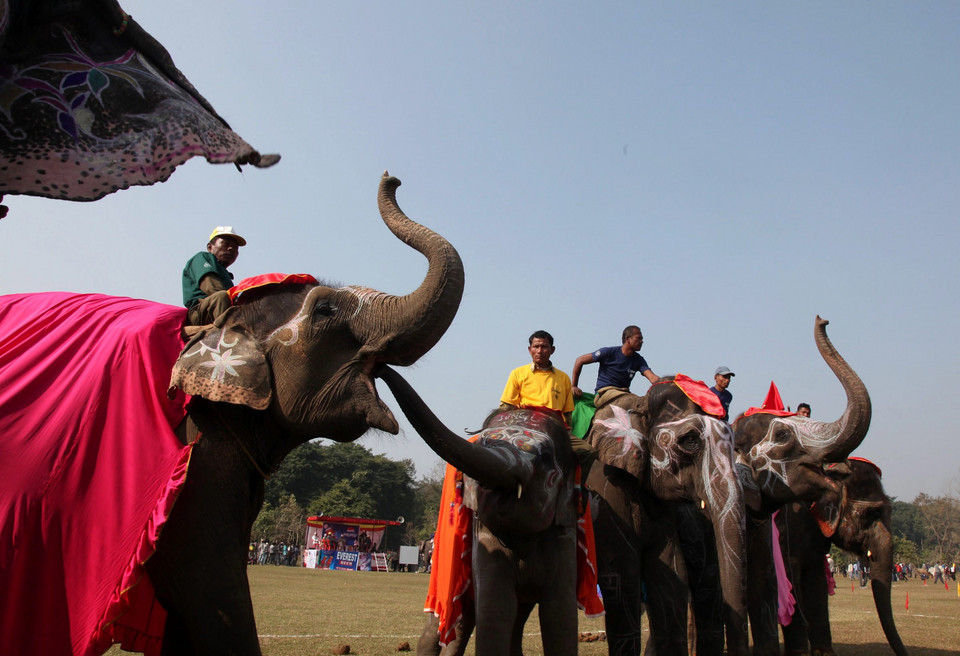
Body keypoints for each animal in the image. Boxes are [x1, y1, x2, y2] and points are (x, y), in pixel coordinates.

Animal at [376, 368, 584, 656]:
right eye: (483, 443)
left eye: (543, 457)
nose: (378, 371)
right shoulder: (483, 534)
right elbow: (496, 607)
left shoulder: (565, 528)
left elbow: (559, 612)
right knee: (449, 621)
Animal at [780, 456, 908, 656]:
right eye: (872, 513)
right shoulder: (788, 528)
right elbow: (790, 576)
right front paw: (799, 653)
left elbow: (817, 582)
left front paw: (824, 653)